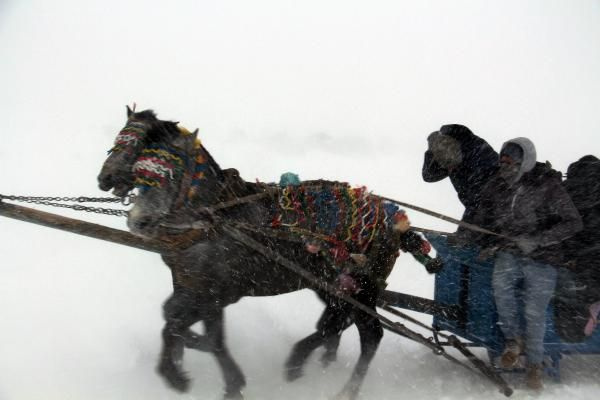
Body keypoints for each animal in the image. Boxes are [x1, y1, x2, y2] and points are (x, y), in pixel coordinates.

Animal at [98, 107, 436, 400]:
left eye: (165, 171)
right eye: (133, 159)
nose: (138, 221)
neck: (211, 217)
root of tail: (394, 219)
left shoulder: (217, 292)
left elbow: (188, 327)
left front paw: (183, 373)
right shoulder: (191, 284)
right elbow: (180, 321)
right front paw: (196, 366)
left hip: (362, 288)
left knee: (369, 335)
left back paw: (341, 387)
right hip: (333, 285)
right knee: (336, 321)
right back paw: (309, 360)